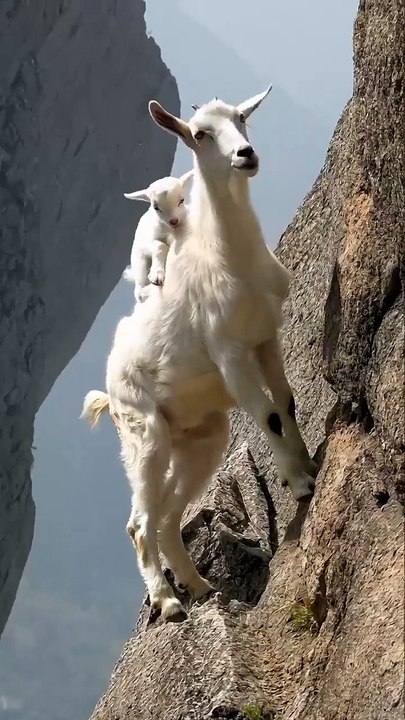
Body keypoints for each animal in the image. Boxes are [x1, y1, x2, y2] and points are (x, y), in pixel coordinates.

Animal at [123, 171, 193, 302]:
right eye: (156, 208)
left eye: (181, 200)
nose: (174, 221)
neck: (170, 230)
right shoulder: (151, 239)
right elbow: (160, 245)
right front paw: (156, 276)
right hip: (139, 262)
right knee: (139, 290)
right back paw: (145, 291)